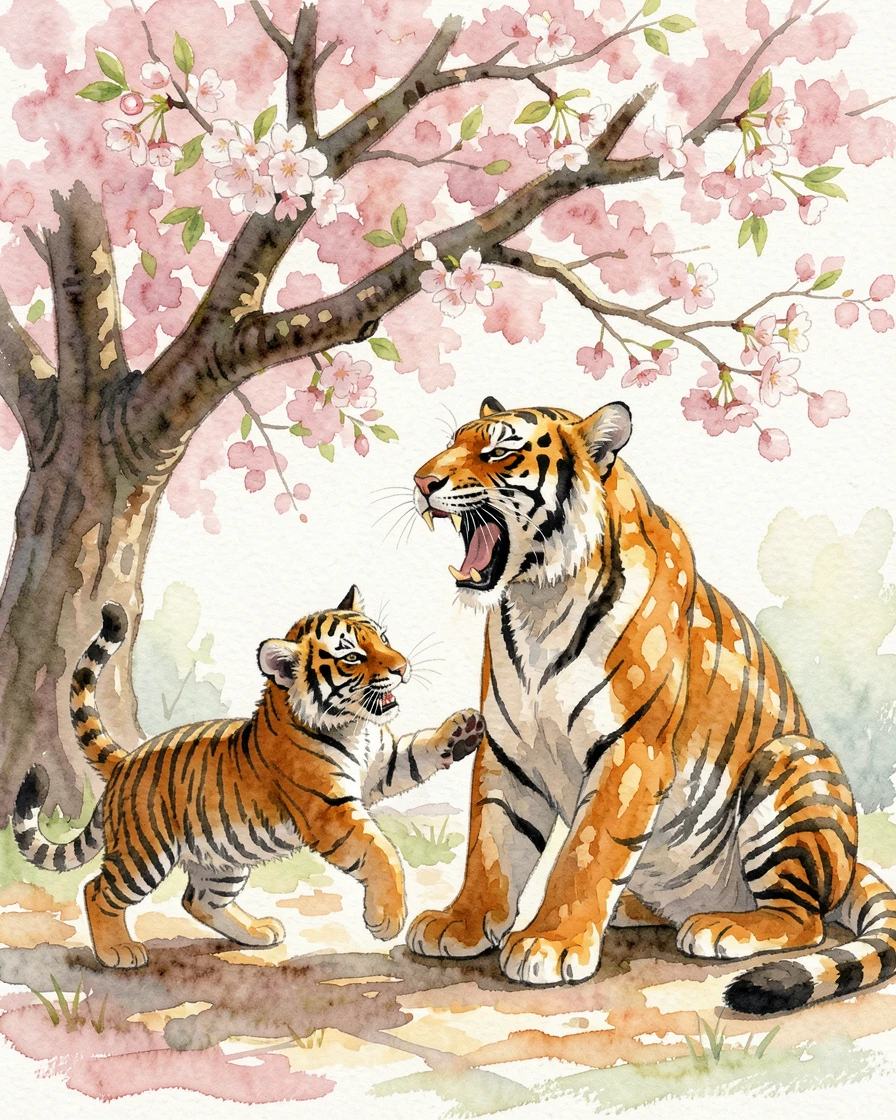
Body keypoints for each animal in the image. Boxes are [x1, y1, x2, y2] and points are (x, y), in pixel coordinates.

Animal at [13, 589, 485, 969]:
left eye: (383, 639)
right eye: (352, 656)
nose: (403, 668)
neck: (355, 727)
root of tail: (127, 759)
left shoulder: (382, 763)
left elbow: (416, 751)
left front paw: (463, 729)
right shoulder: (330, 809)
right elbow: (382, 852)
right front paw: (385, 918)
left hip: (222, 860)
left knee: (197, 900)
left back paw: (258, 932)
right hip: (144, 853)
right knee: (98, 890)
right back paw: (118, 952)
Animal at [406, 397, 896, 1014]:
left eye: (499, 451)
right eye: (452, 443)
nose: (421, 481)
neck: (539, 598)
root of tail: (852, 864)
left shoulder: (630, 751)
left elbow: (586, 854)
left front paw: (550, 943)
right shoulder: (506, 754)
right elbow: (491, 846)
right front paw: (461, 923)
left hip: (791, 760)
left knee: (803, 918)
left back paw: (722, 926)